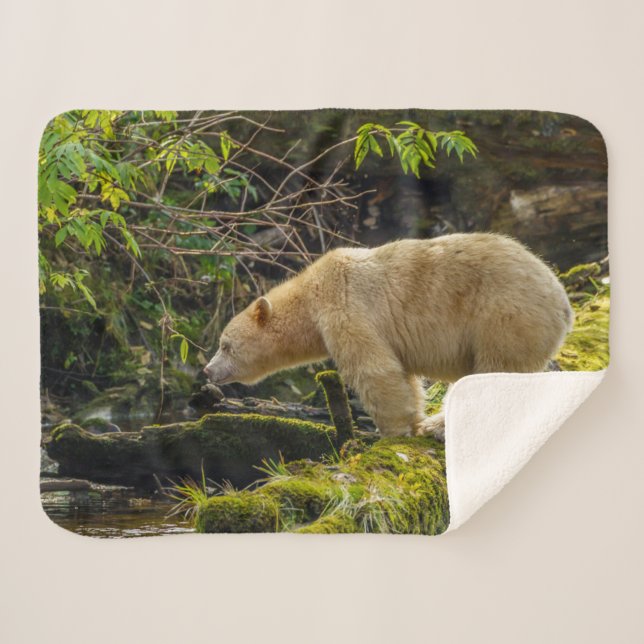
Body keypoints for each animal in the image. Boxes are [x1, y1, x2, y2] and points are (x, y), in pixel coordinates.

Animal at [203, 233, 573, 439]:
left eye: (225, 345)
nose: (208, 370)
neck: (309, 295)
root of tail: (563, 302)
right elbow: (402, 374)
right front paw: (412, 421)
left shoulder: (345, 307)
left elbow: (374, 369)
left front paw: (393, 432)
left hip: (504, 316)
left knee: (493, 374)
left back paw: (439, 427)